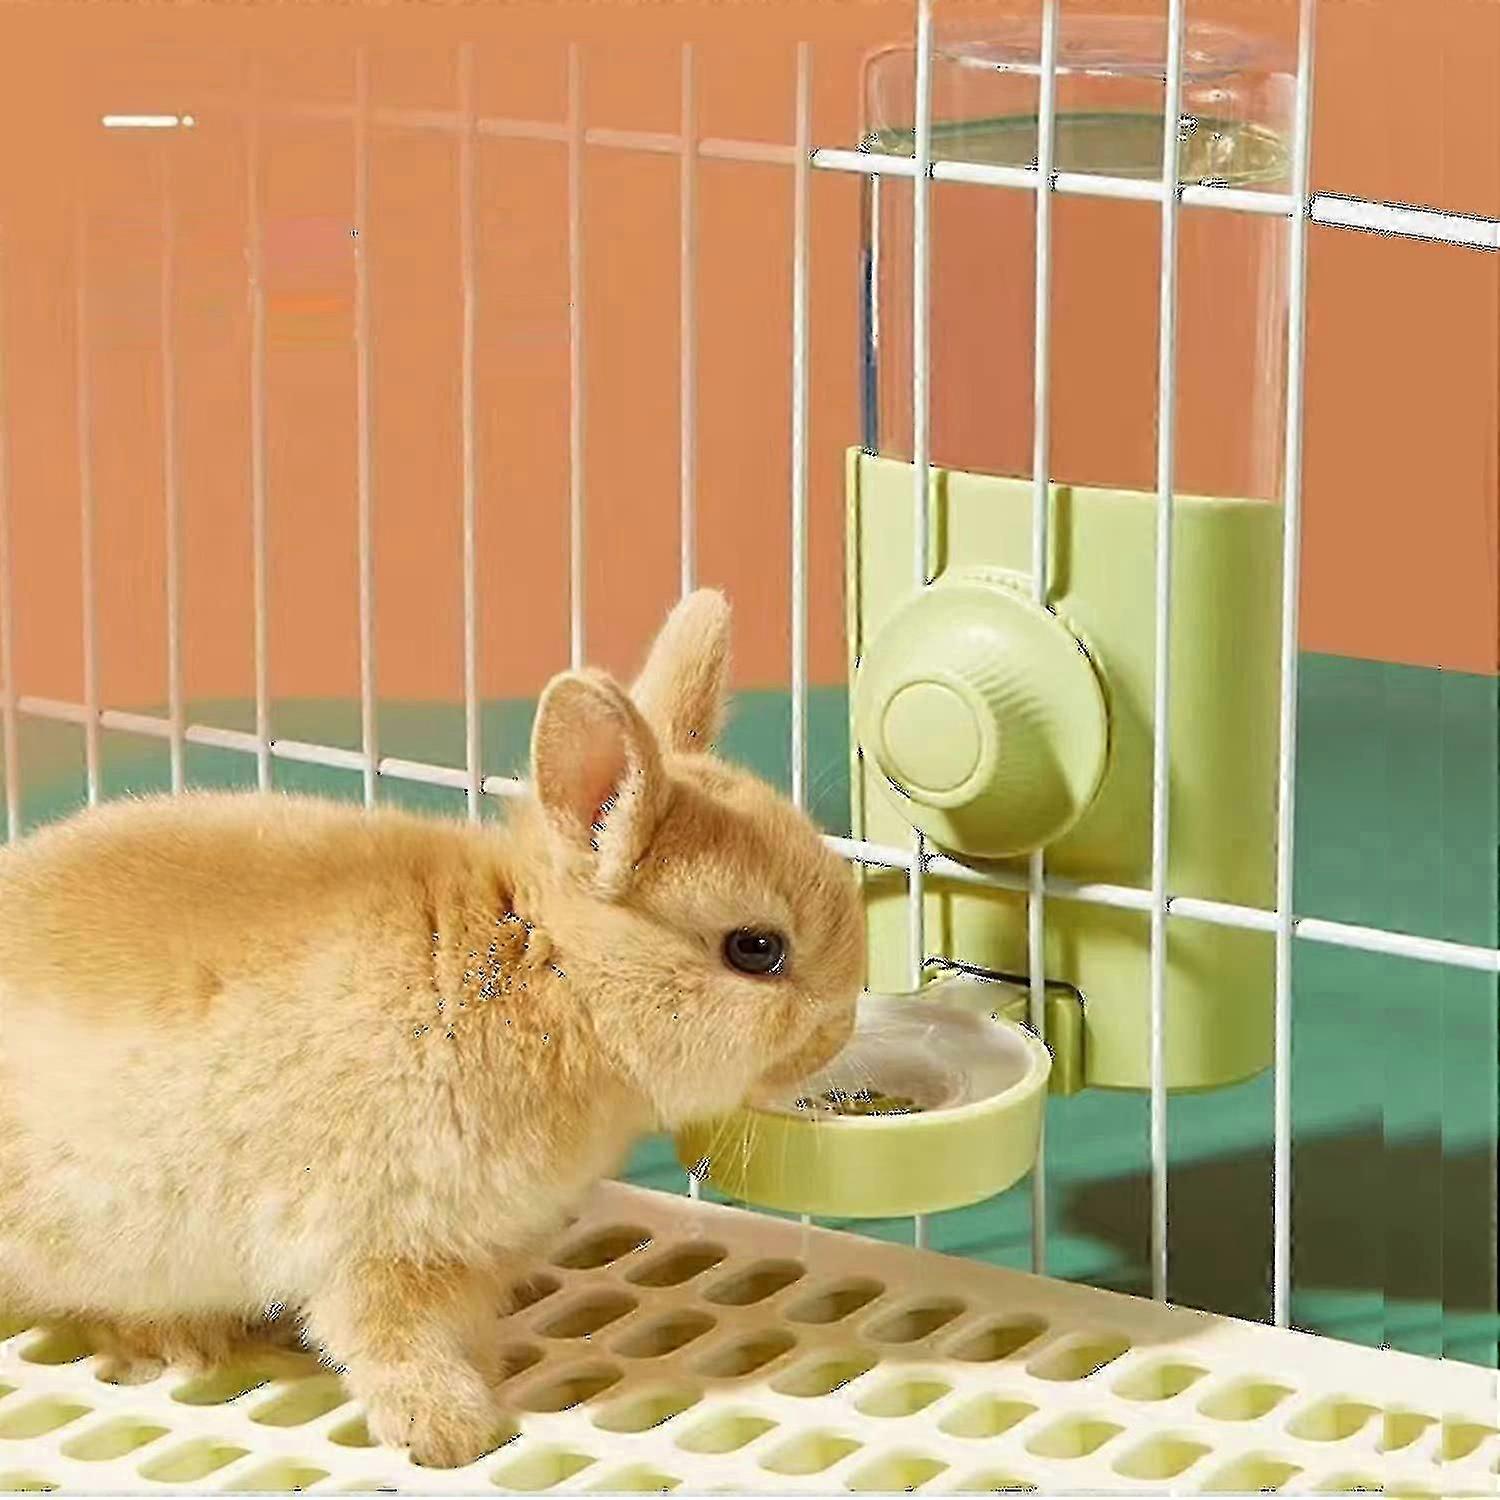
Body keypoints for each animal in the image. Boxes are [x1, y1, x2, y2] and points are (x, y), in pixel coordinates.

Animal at [0, 588, 865, 1469]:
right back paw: (178, 1343)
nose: (840, 1029)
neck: (547, 975)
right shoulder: (377, 1245)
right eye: (755, 949)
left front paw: (482, 1382)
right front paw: (451, 1434)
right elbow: (388, 1341)